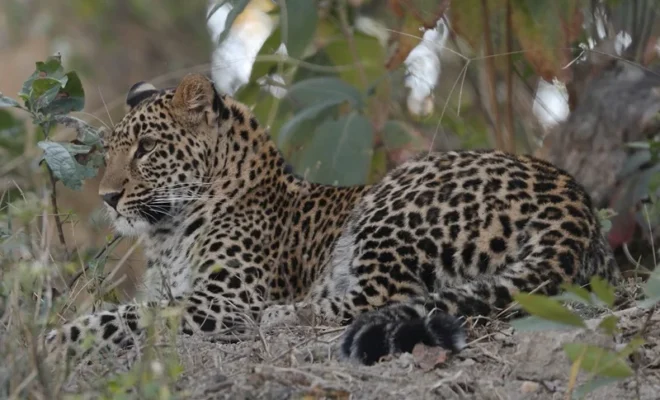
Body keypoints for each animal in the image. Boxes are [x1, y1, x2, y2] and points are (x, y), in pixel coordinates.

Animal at [44, 73, 620, 366]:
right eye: (111, 151)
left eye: (146, 149)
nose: (107, 197)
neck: (167, 234)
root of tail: (575, 202)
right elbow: (130, 308)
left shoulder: (225, 299)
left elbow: (121, 317)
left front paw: (53, 340)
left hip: (393, 202)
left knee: (385, 295)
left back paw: (283, 316)